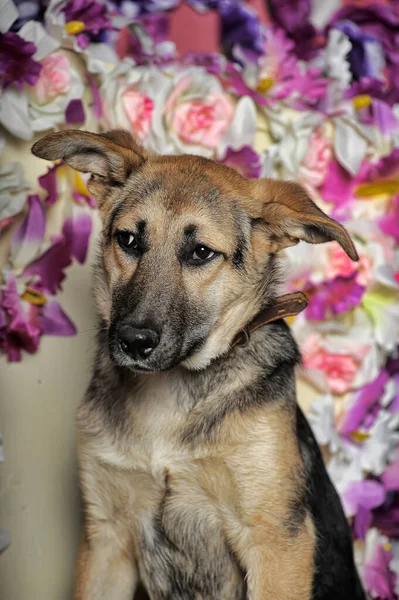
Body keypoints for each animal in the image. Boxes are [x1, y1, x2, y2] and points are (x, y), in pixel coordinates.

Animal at [32, 131, 368, 600]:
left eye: (201, 253)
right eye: (128, 240)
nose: (133, 341)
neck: (169, 394)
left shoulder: (276, 544)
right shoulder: (105, 539)